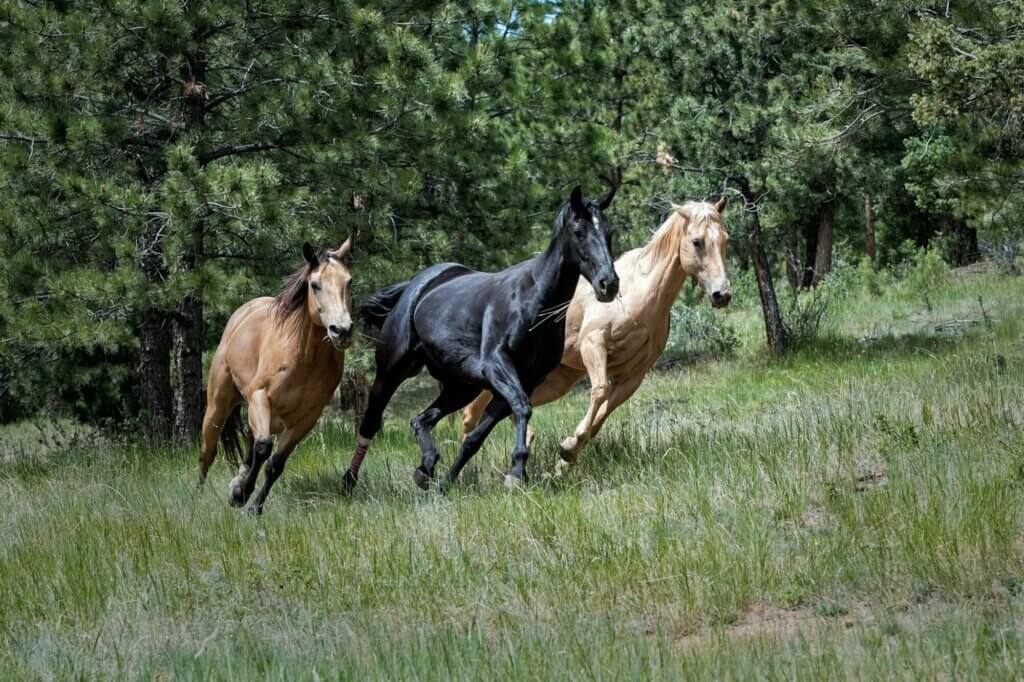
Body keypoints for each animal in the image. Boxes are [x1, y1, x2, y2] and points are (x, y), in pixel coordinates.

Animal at [197, 238, 355, 515]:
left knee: (250, 447)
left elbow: (275, 463)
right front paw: (241, 494)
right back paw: (198, 499)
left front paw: (251, 506)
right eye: (315, 285)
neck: (304, 358)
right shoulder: (260, 397)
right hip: (218, 407)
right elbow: (263, 448)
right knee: (208, 451)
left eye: (349, 282)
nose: (342, 330)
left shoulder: (306, 419)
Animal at [342, 186, 620, 491]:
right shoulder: (497, 365)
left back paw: (426, 468)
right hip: (391, 371)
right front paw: (516, 471)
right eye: (579, 231)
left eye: (609, 231)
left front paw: (447, 482)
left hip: (461, 387)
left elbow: (476, 437)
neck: (533, 300)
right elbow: (522, 407)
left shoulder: (523, 380)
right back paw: (349, 481)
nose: (608, 283)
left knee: (421, 420)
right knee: (370, 422)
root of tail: (416, 285)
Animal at [461, 198, 732, 474]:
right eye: (697, 241)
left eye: (725, 239)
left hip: (557, 379)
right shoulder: (593, 345)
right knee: (476, 409)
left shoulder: (633, 375)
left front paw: (567, 453)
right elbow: (599, 391)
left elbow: (605, 411)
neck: (641, 295)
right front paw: (569, 447)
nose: (722, 294)